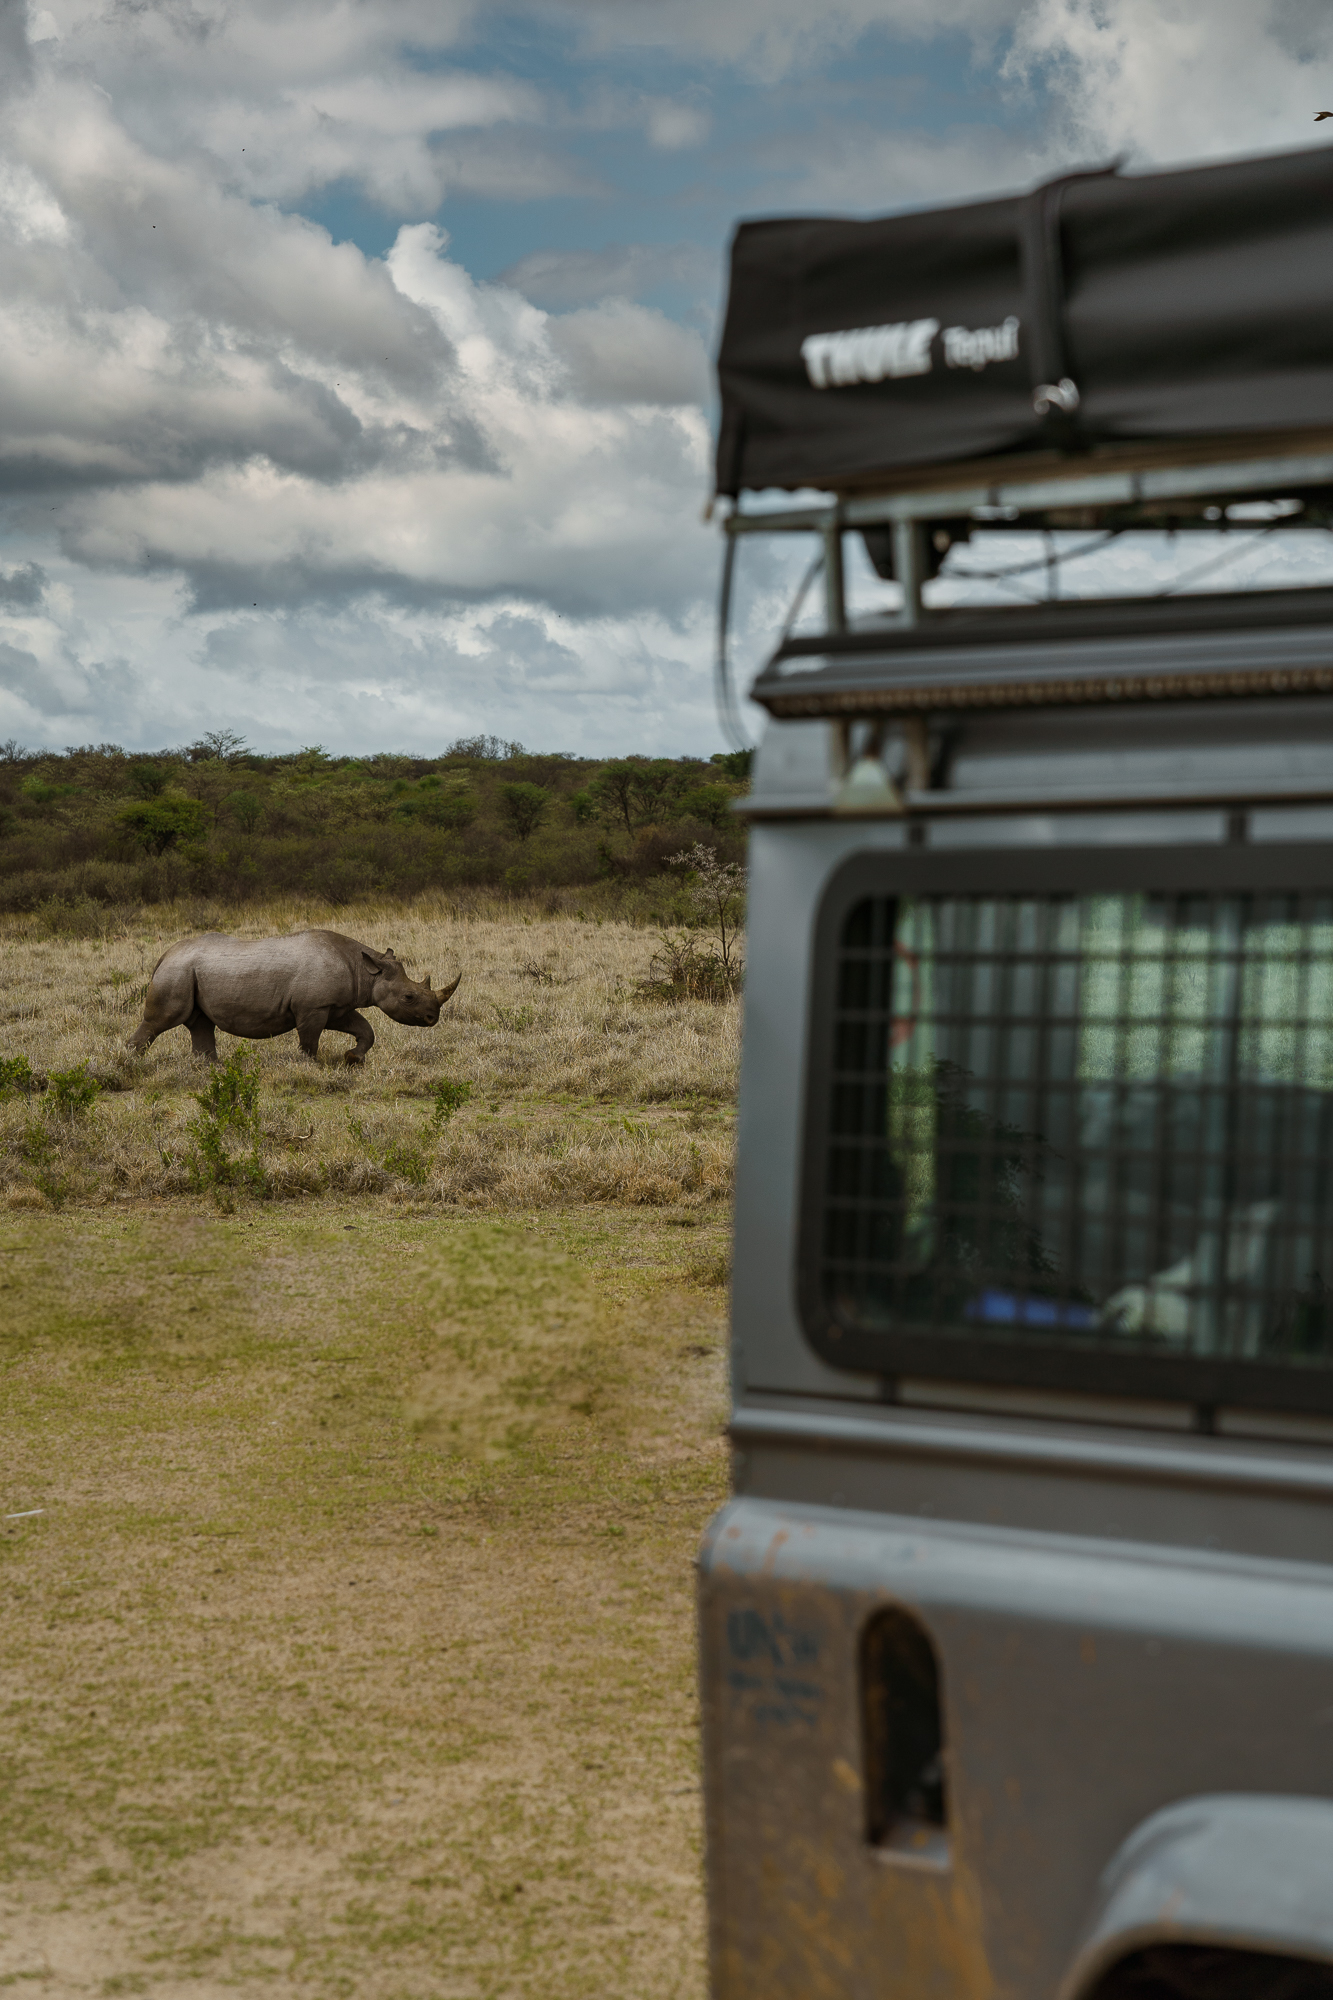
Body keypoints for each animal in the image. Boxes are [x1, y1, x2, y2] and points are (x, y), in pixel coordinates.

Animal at [127, 929, 460, 1065]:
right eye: (408, 997)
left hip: (190, 971)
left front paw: (353, 1059)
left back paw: (209, 1069)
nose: (432, 1018)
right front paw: (310, 1066)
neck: (366, 970)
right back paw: (130, 1064)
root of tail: (165, 954)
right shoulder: (313, 1006)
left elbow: (366, 1030)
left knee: (200, 1023)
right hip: (178, 972)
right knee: (161, 1021)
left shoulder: (336, 1006)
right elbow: (309, 1040)